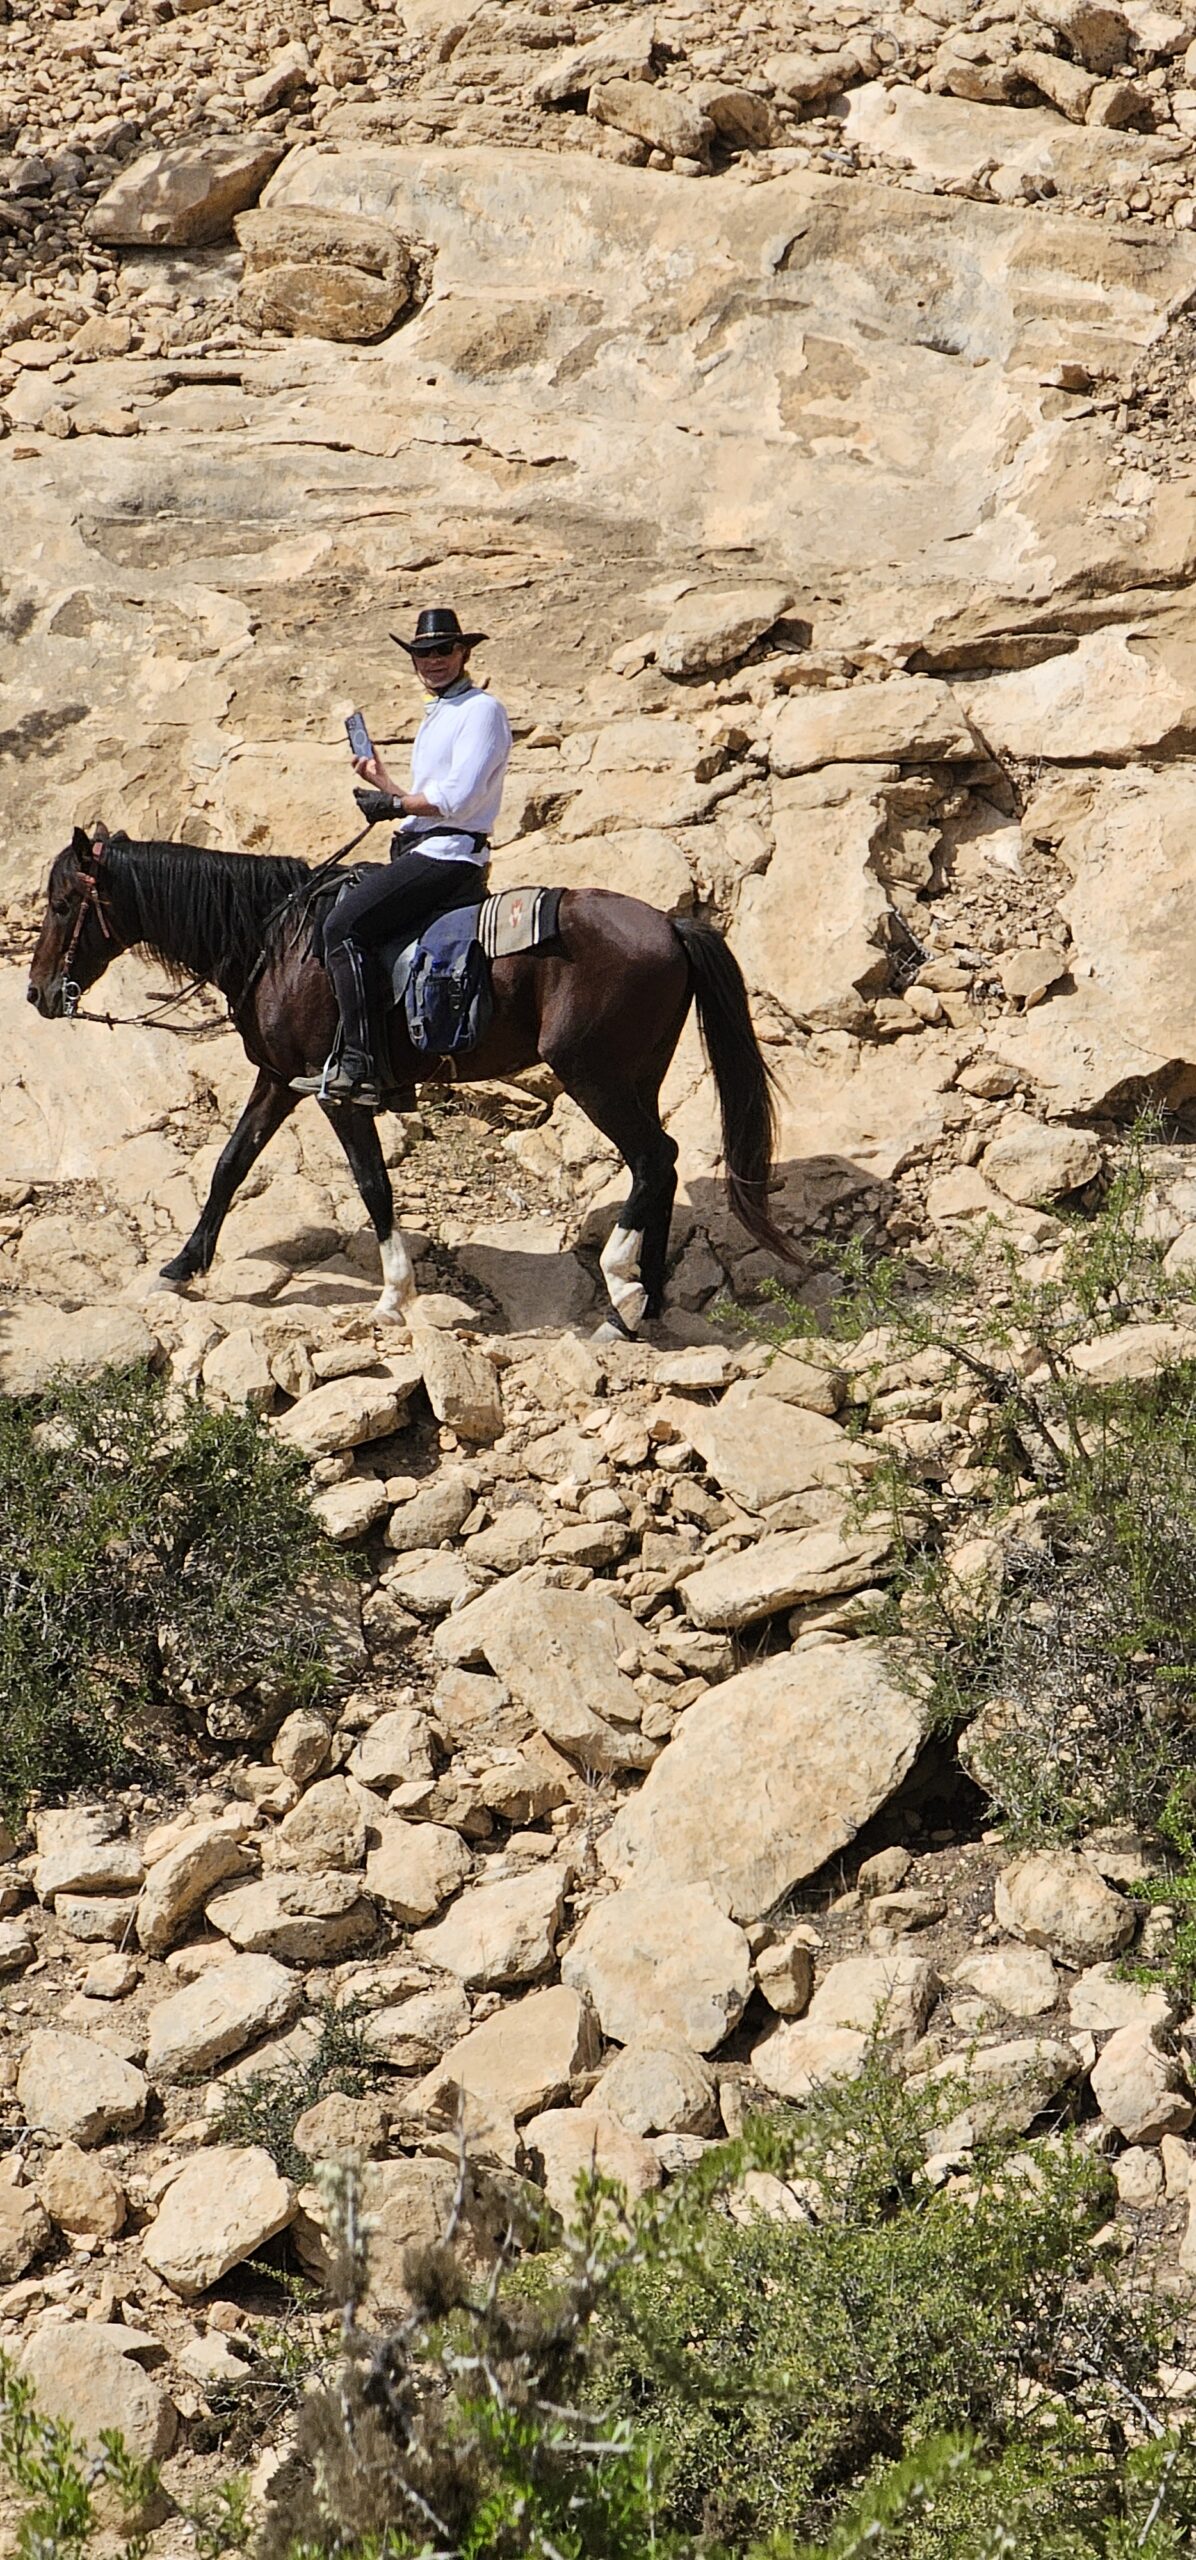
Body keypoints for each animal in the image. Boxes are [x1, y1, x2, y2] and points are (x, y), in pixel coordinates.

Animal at [27, 825, 793, 1333]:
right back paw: (645, 1304)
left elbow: (373, 1183)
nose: (37, 994)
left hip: (594, 1075)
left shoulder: (337, 1094)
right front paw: (181, 1267)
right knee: (659, 1165)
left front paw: (395, 1294)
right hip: (637, 1076)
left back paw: (624, 1289)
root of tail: (667, 923)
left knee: (654, 1159)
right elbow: (229, 1165)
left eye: (63, 905)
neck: (277, 944)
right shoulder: (277, 1078)